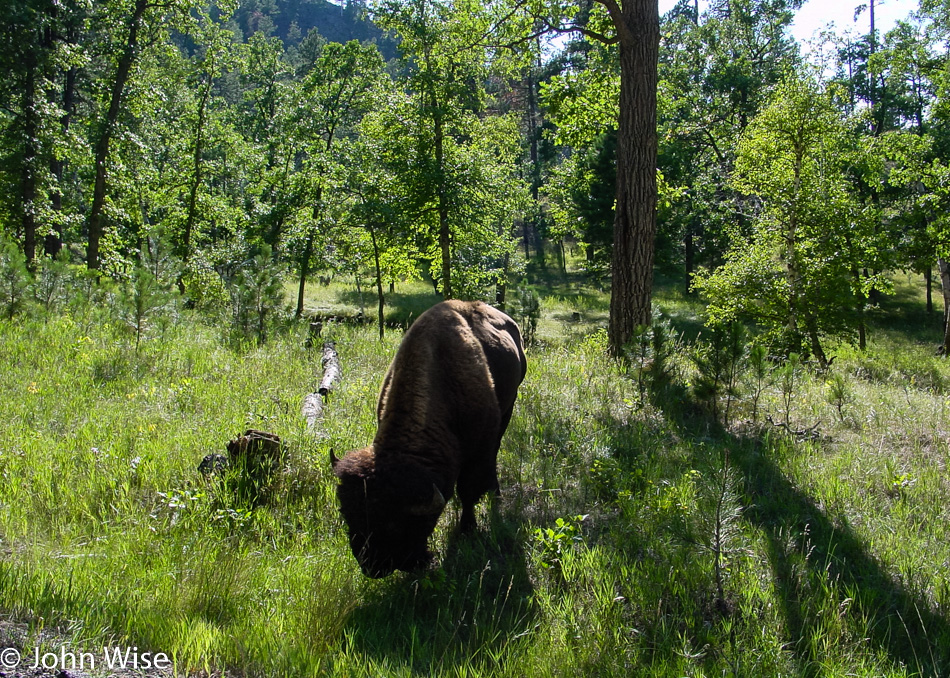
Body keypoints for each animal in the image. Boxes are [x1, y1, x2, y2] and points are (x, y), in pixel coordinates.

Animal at [332, 302, 528, 580]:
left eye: (394, 523)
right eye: (347, 513)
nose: (372, 566)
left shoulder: (477, 449)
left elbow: (468, 491)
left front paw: (467, 529)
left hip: (508, 408)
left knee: (495, 455)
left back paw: (495, 492)